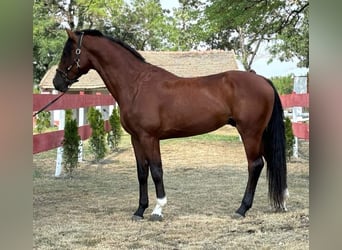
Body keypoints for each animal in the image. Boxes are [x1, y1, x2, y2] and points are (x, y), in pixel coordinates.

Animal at [53, 29, 288, 221]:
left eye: (69, 52)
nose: (57, 82)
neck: (136, 84)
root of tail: (263, 81)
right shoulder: (136, 138)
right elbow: (142, 172)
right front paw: (140, 210)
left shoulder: (149, 137)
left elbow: (157, 171)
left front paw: (158, 210)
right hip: (260, 134)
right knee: (271, 161)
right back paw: (282, 202)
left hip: (250, 133)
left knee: (255, 165)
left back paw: (242, 209)